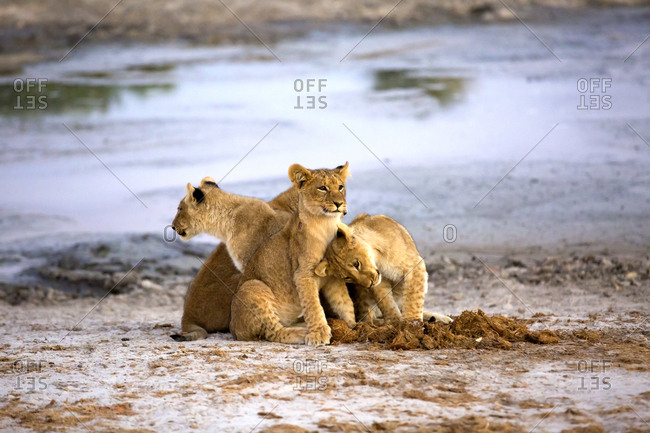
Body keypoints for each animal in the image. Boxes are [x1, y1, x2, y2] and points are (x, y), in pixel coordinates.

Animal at [230, 162, 351, 346]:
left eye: (340, 187)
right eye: (322, 188)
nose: (339, 203)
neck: (327, 223)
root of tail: (233, 329)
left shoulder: (332, 276)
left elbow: (344, 302)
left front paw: (355, 325)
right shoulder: (303, 273)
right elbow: (313, 305)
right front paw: (319, 333)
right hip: (253, 286)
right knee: (273, 332)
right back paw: (302, 332)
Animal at [317, 213, 452, 325]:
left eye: (356, 264)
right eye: (347, 277)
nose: (368, 284)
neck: (378, 260)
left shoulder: (414, 265)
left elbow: (413, 297)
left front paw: (411, 322)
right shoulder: (380, 282)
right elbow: (386, 303)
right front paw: (395, 322)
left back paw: (442, 318)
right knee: (366, 317)